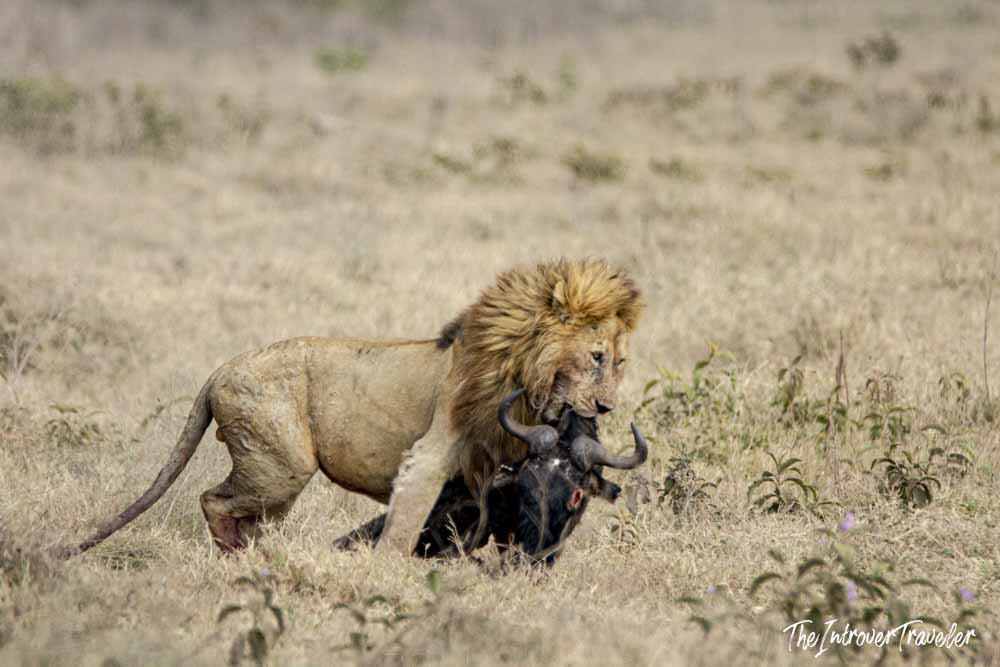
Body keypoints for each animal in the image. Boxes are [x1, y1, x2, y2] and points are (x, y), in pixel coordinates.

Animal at [62, 257, 643, 558]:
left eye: (619, 362)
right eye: (595, 357)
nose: (606, 407)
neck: (522, 370)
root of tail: (219, 370)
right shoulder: (433, 453)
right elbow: (405, 525)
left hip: (273, 478)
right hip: (282, 466)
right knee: (214, 501)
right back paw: (238, 559)